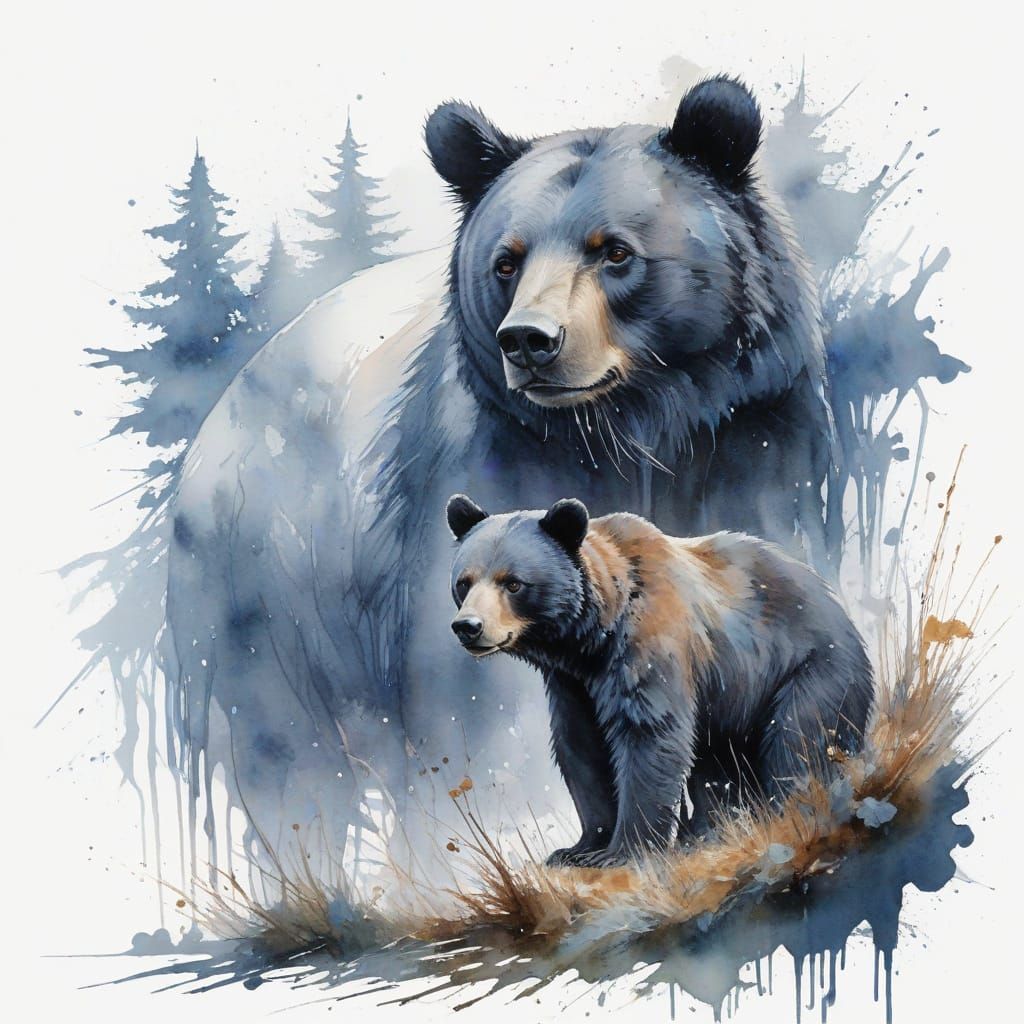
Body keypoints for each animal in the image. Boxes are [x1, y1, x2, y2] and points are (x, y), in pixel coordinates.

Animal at [445, 494, 874, 867]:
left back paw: (785, 812)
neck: (591, 637)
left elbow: (648, 735)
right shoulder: (572, 684)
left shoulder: (648, 643)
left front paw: (620, 852)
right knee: (716, 764)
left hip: (809, 668)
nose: (468, 627)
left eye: (513, 583)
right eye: (464, 582)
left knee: (799, 740)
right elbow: (582, 746)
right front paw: (578, 849)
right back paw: (709, 829)